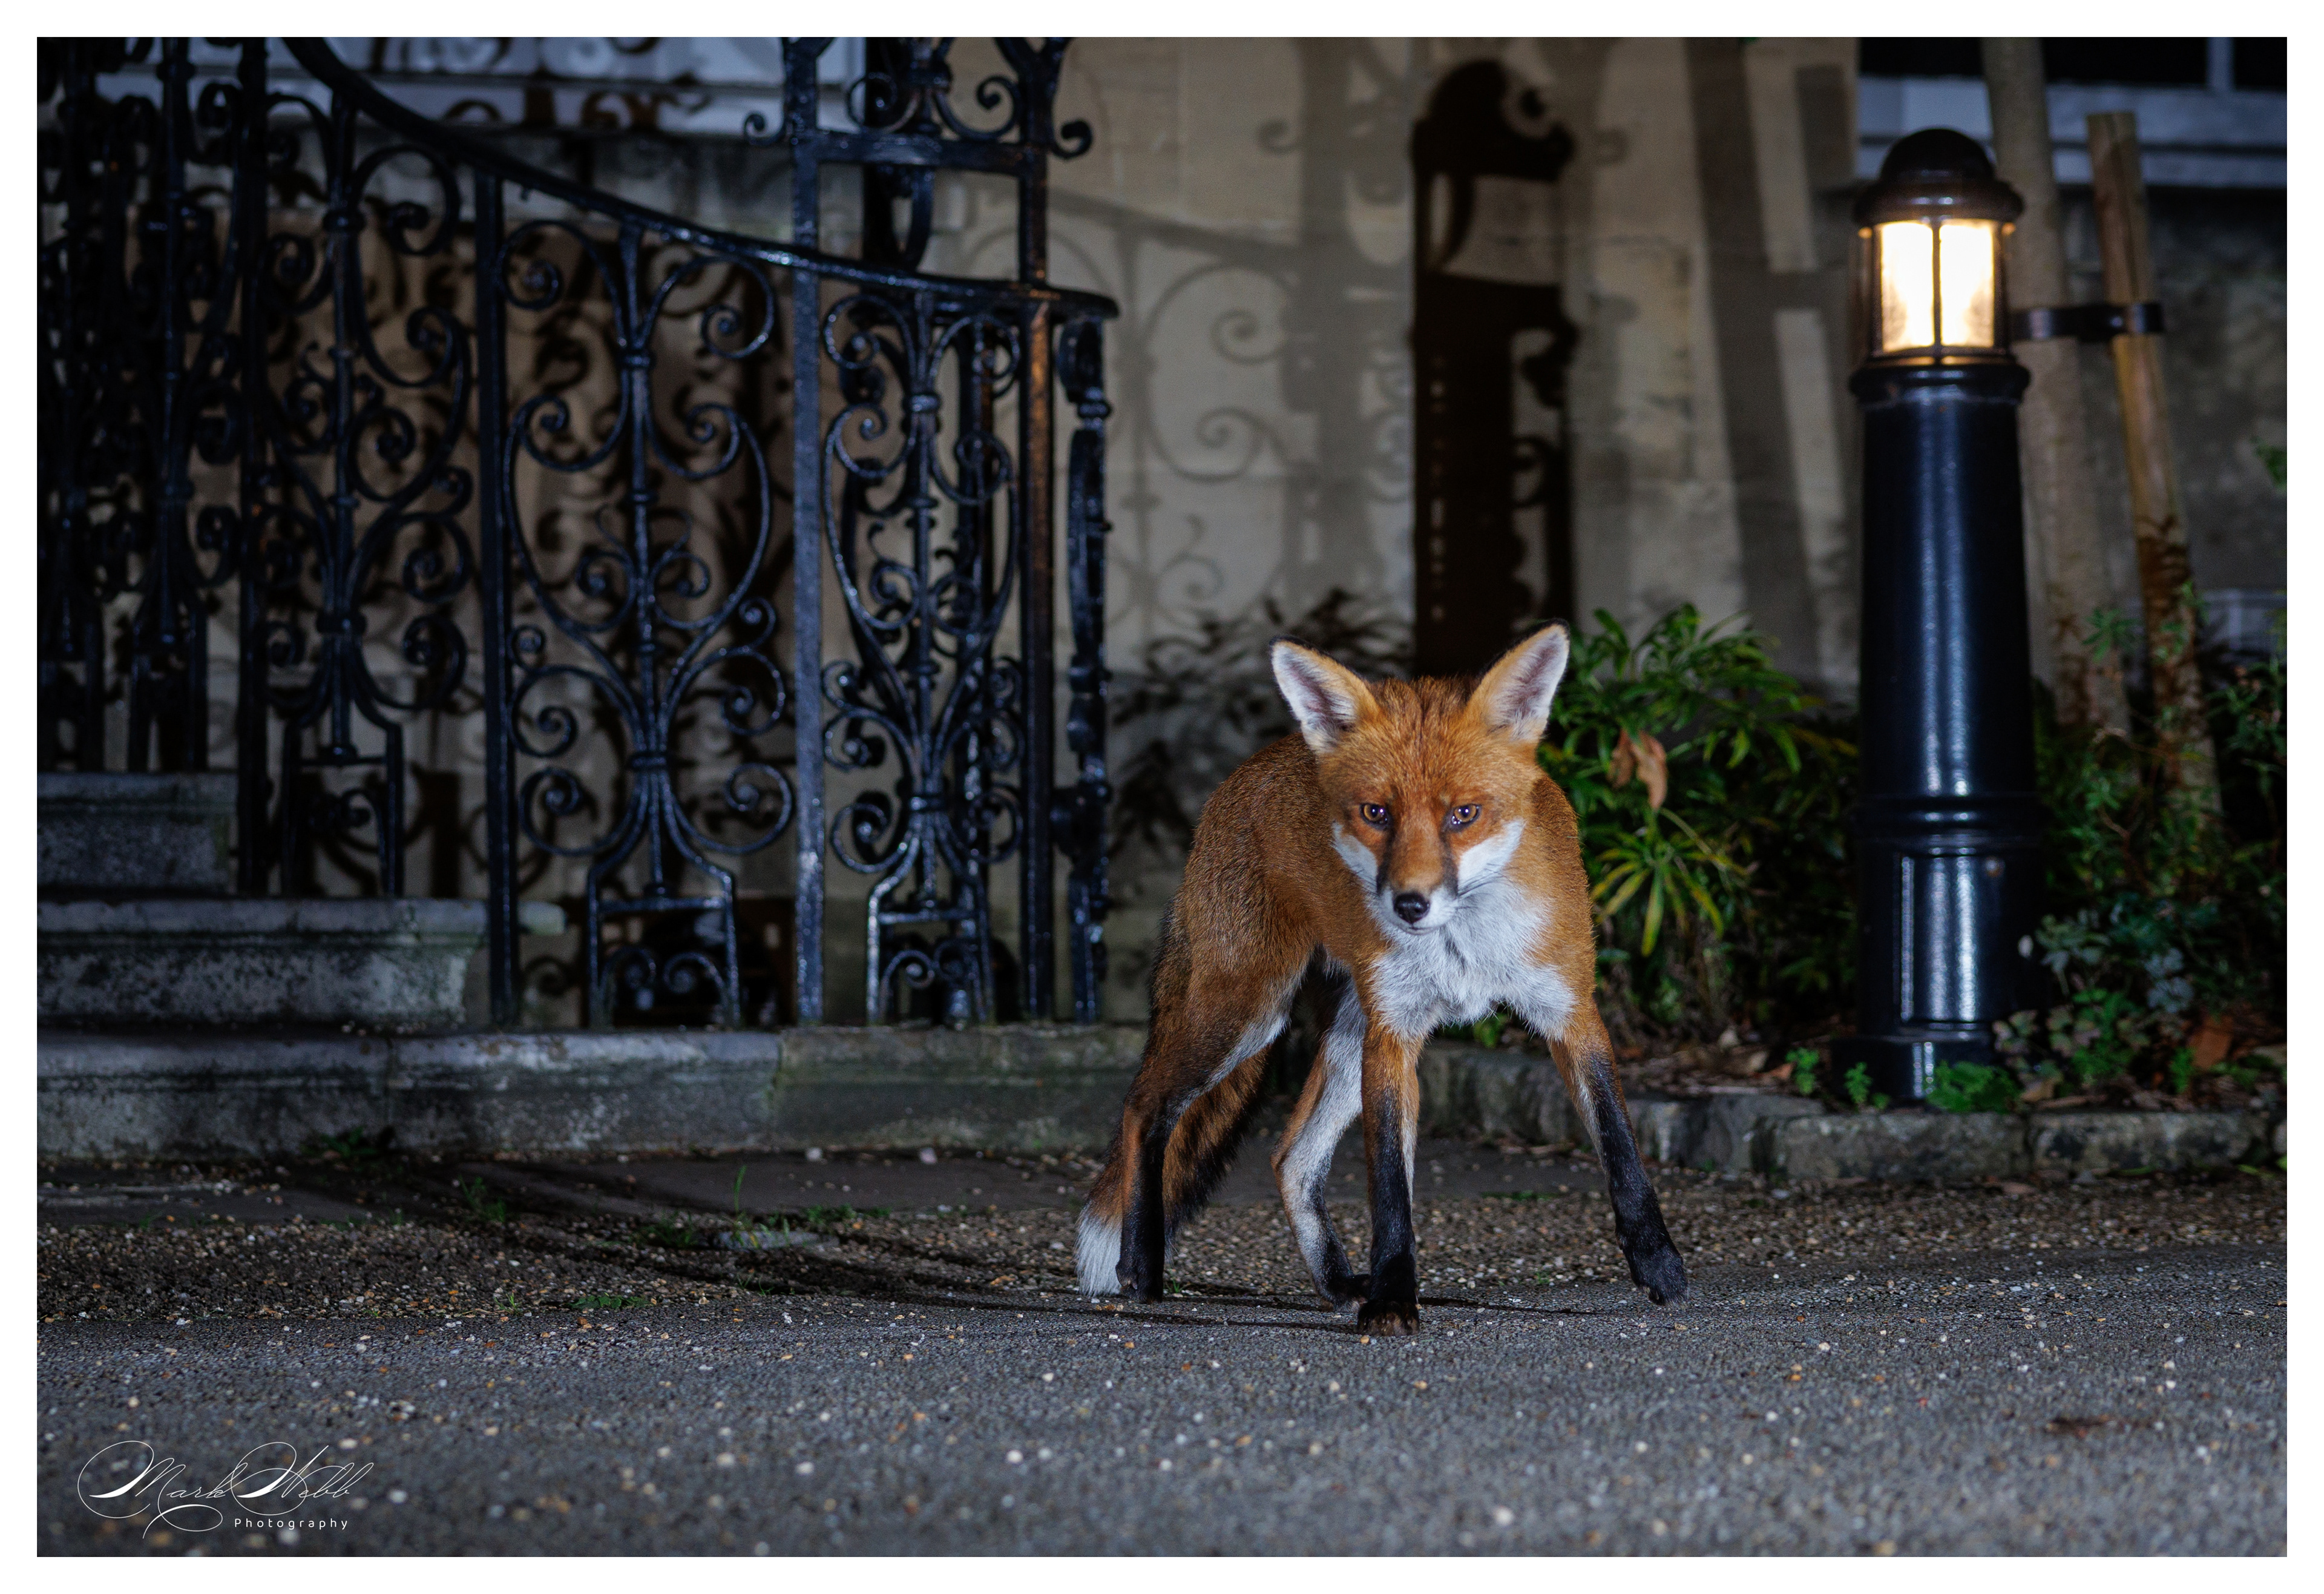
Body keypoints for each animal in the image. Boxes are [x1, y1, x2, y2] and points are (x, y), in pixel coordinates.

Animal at [1076, 623, 1687, 1333]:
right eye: (1376, 812)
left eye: (1463, 814)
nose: (1410, 904)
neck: (1465, 945)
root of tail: (1243, 774)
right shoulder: (1394, 1034)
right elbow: (1391, 1187)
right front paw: (1395, 1298)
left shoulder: (1571, 1012)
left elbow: (1621, 1147)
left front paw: (1661, 1267)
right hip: (1251, 1013)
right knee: (1145, 1107)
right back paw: (1141, 1264)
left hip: (1339, 1036)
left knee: (1290, 1158)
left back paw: (1338, 1282)